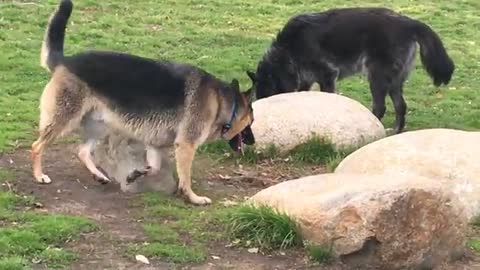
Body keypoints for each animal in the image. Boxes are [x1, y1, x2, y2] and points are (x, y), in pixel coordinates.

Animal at [248, 7, 454, 134]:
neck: (288, 49)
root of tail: (409, 22)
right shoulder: (306, 79)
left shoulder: (327, 75)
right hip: (394, 81)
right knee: (400, 106)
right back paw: (395, 131)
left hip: (377, 77)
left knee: (381, 107)